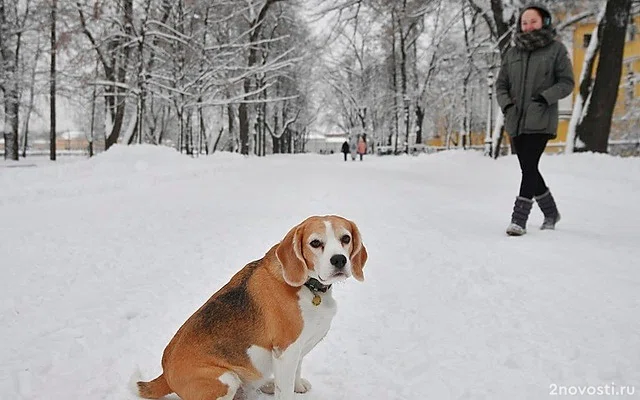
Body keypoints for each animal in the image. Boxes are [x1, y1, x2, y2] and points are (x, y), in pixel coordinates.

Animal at [139, 216, 370, 400]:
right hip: (226, 379)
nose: (339, 260)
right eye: (315, 243)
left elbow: (296, 371)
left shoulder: (298, 349)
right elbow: (285, 390)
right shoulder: (286, 351)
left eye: (345, 239)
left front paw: (297, 386)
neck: (309, 286)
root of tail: (165, 375)